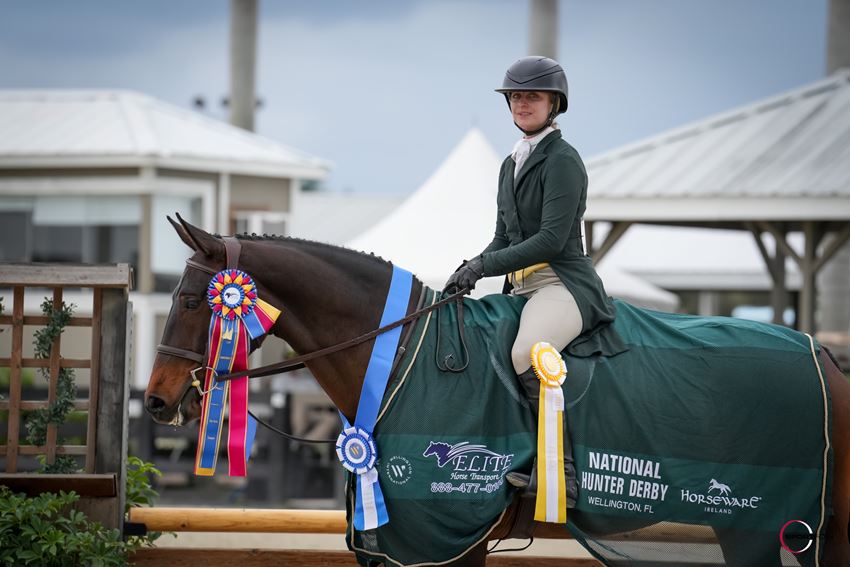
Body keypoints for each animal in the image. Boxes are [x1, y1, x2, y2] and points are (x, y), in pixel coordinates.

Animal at [144, 215, 848, 564]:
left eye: (191, 301)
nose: (156, 400)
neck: (400, 355)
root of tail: (824, 355)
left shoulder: (448, 536)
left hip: (761, 526)